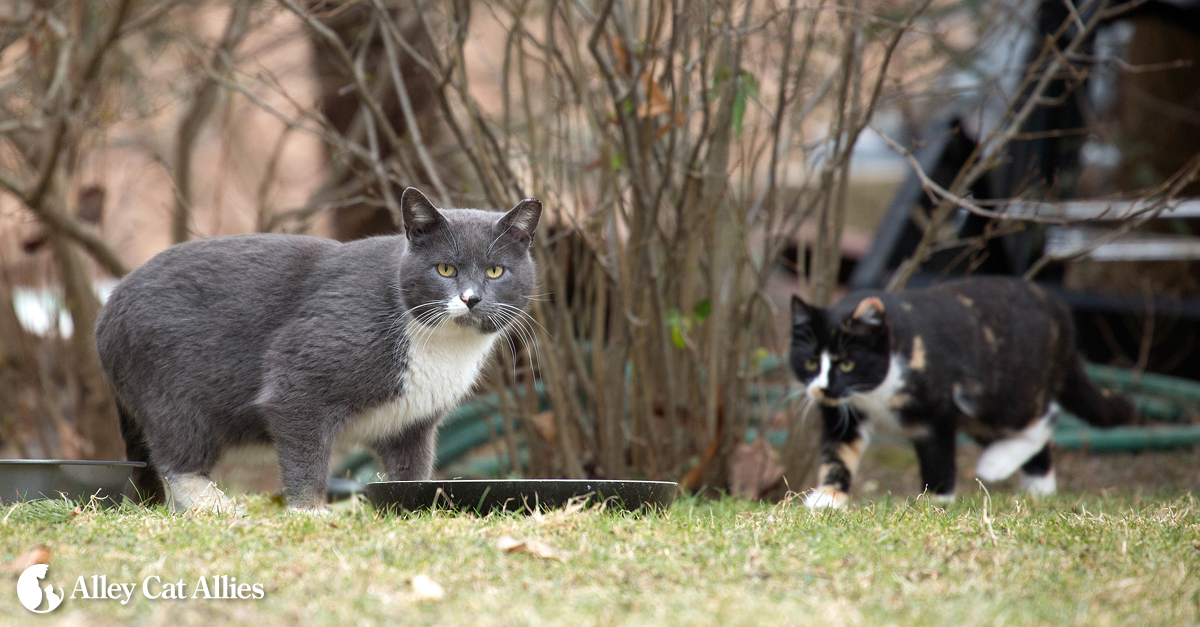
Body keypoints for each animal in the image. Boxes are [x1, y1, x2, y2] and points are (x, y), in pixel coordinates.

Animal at [96, 187, 542, 509]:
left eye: (496, 271)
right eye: (445, 268)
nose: (471, 299)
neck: (444, 345)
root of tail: (107, 309)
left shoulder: (412, 423)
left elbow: (411, 471)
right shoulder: (298, 380)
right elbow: (304, 452)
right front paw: (310, 512)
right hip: (171, 393)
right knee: (177, 457)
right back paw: (220, 507)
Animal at [787, 277, 1132, 506]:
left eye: (846, 364)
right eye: (810, 362)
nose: (822, 388)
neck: (873, 393)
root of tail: (1058, 309)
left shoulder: (936, 412)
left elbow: (938, 457)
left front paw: (937, 502)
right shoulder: (841, 415)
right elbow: (837, 454)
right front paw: (828, 497)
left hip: (1001, 395)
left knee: (1047, 415)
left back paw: (996, 464)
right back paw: (1039, 490)